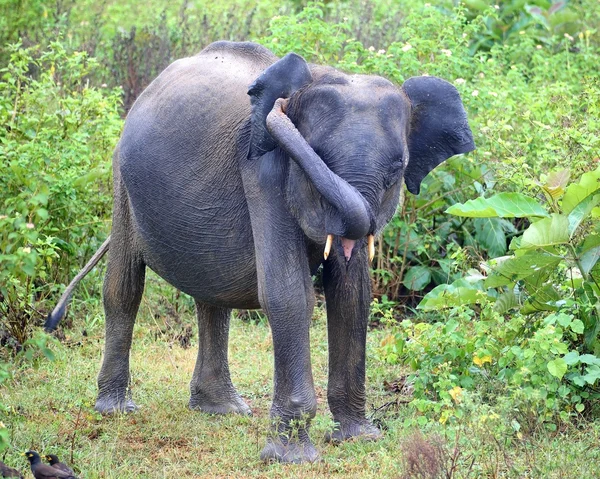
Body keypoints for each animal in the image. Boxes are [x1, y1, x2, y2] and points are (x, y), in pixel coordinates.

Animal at [47, 42, 476, 464]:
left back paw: (221, 410)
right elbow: (289, 294)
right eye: (316, 156)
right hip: (121, 177)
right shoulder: (263, 169)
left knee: (211, 291)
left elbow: (351, 294)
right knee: (124, 286)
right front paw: (292, 458)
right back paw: (117, 409)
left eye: (397, 169)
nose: (281, 107)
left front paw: (359, 438)